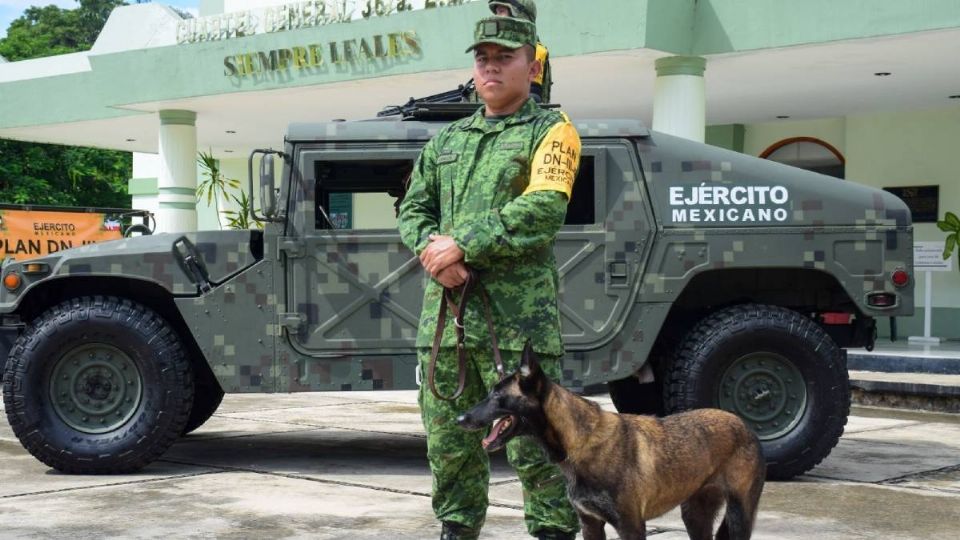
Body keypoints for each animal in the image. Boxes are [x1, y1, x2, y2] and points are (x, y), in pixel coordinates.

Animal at [456, 346, 764, 540]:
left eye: (498, 396)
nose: (460, 418)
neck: (580, 443)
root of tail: (743, 425)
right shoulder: (591, 525)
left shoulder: (631, 527)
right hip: (694, 515)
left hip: (739, 515)